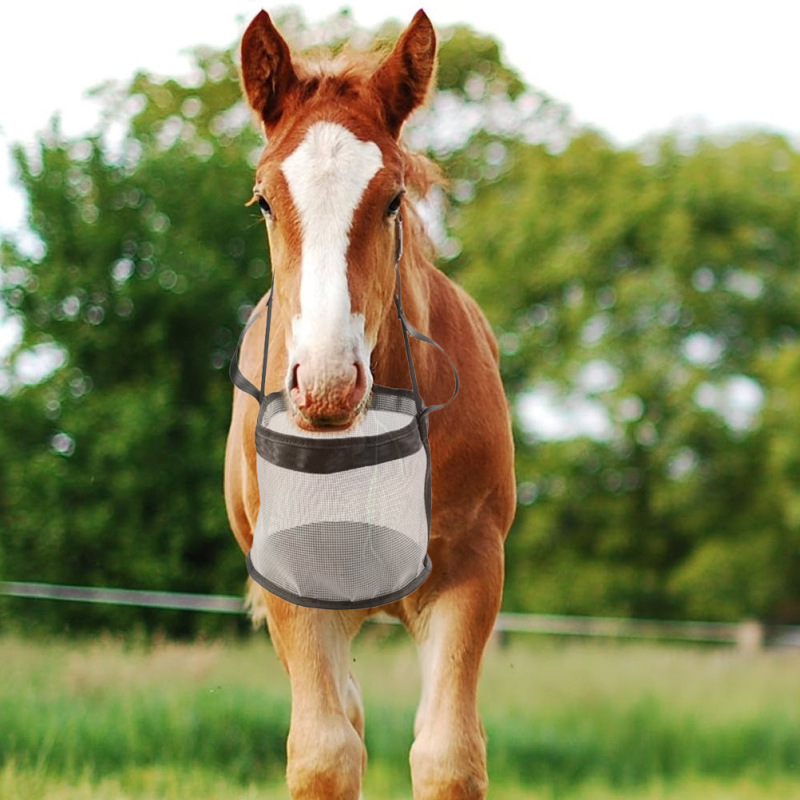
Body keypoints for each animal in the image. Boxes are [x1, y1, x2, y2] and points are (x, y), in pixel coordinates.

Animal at [222, 7, 516, 800]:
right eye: (264, 200)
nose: (326, 384)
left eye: (392, 198)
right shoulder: (292, 578)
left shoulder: (470, 567)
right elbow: (324, 754)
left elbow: (449, 756)